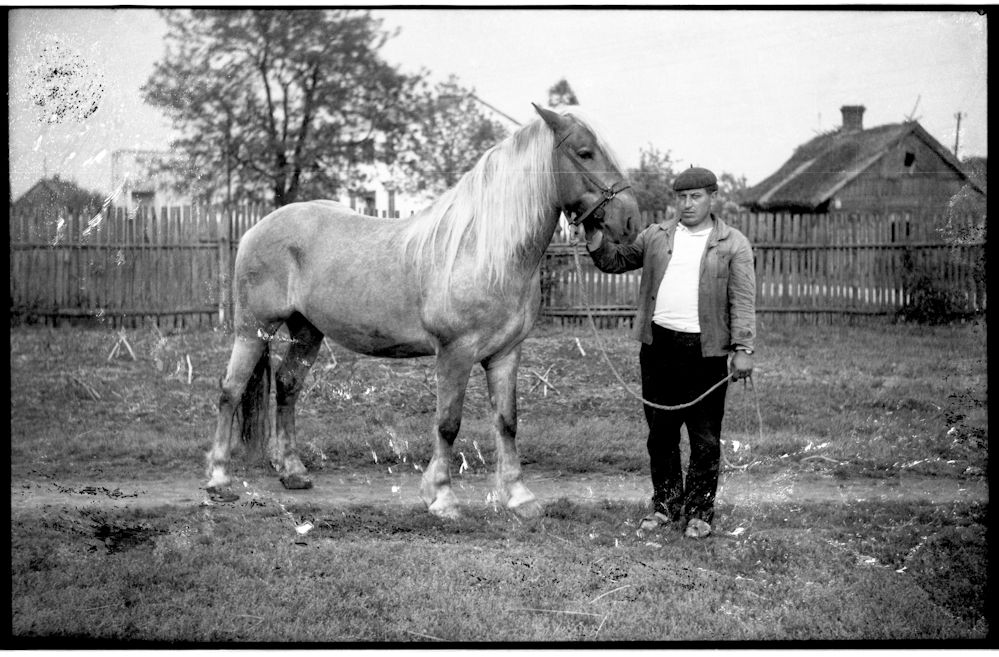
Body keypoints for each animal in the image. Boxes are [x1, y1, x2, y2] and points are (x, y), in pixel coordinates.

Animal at [205, 105, 640, 516]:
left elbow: (507, 422)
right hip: (253, 328)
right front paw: (441, 497)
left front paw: (519, 497)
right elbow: (448, 424)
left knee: (287, 385)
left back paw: (293, 472)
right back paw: (219, 479)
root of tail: (257, 227)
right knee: (231, 390)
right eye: (584, 152)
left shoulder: (505, 354)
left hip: (307, 331)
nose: (630, 219)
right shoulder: (455, 354)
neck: (484, 251)